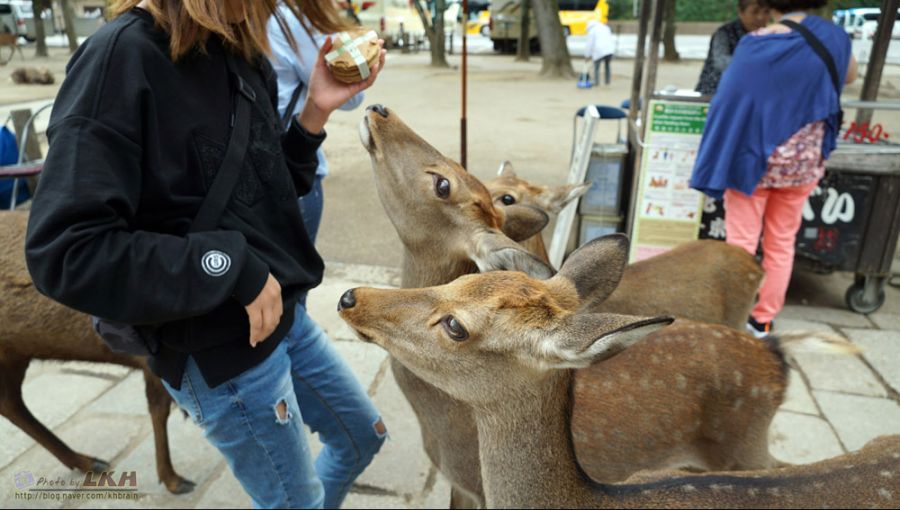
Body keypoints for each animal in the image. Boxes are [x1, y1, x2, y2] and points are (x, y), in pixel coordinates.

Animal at [0, 210, 194, 494]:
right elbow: (160, 408)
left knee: (10, 402)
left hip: (15, 354)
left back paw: (87, 461)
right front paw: (172, 480)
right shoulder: (153, 361)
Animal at [340, 235, 900, 510]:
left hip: (748, 444)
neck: (596, 500)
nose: (350, 298)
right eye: (461, 277)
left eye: (456, 325)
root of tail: (778, 357)